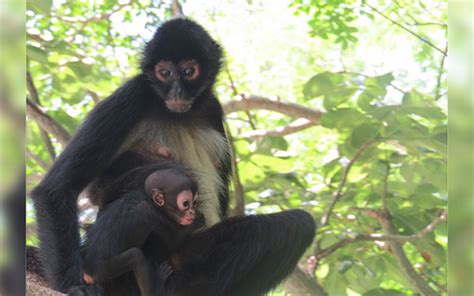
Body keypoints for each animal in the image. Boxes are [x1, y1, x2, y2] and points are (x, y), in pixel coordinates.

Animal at [31, 17, 316, 294]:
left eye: (189, 72)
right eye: (164, 73)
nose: (177, 92)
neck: (179, 113)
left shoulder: (211, 107)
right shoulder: (134, 94)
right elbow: (56, 188)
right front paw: (71, 286)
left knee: (299, 225)